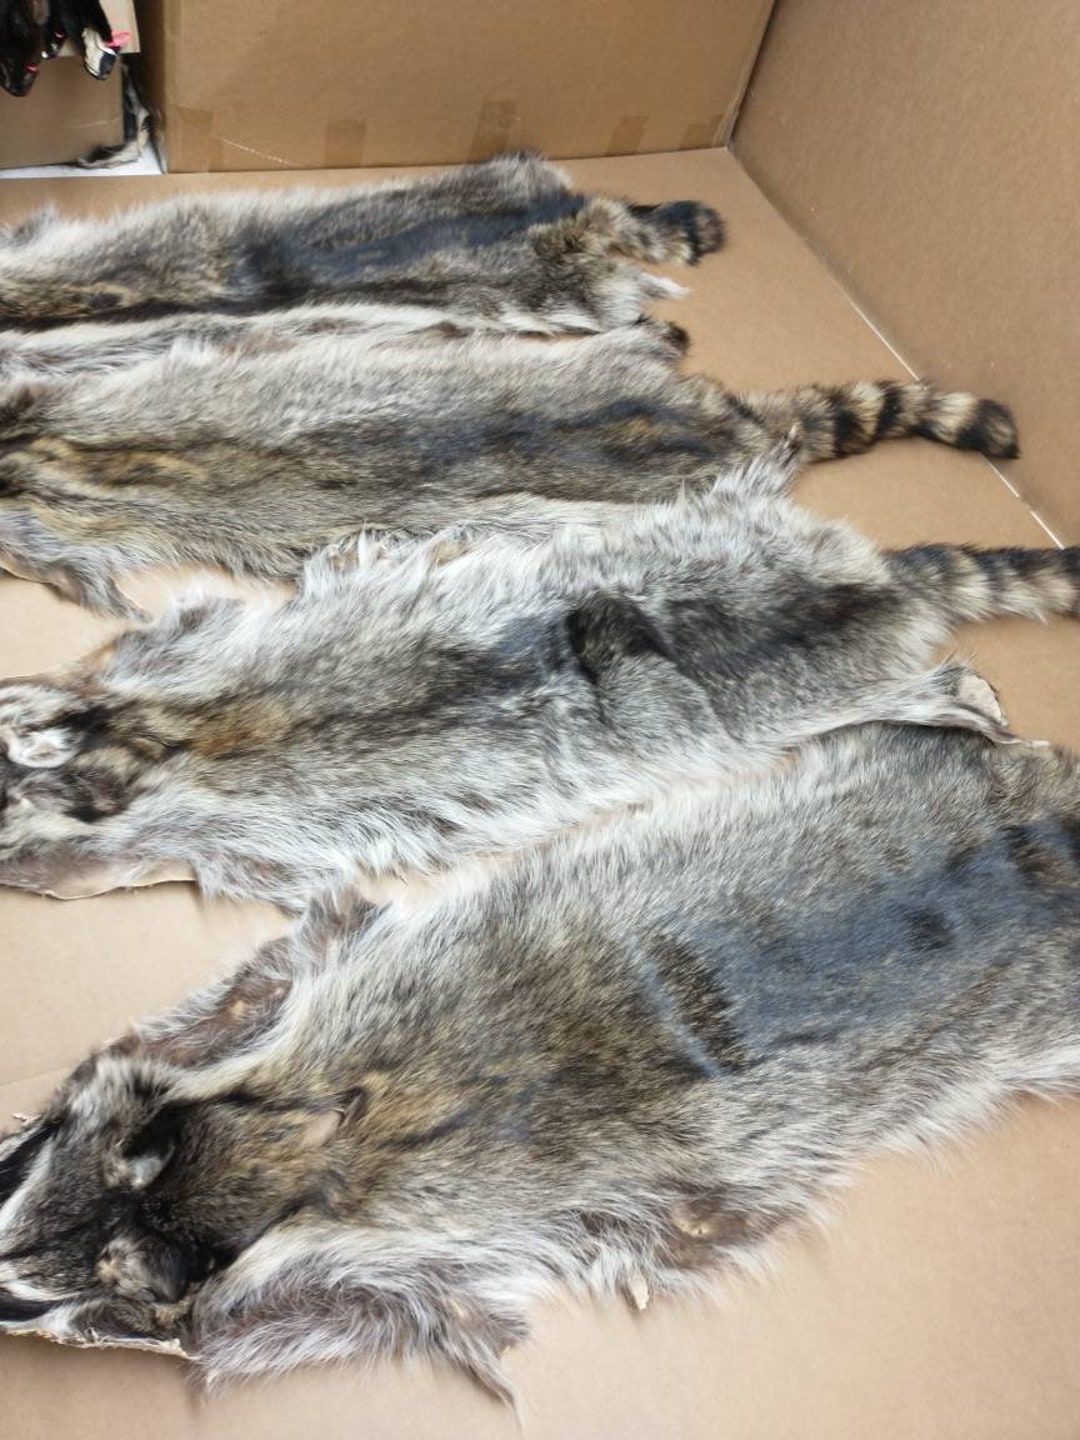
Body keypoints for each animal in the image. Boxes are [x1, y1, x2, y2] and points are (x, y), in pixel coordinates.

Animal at [0, 469, 1076, 907]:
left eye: (7, 850)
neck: (143, 740)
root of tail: (869, 586)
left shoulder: (187, 781)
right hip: (715, 538)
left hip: (783, 700)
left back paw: (956, 697)